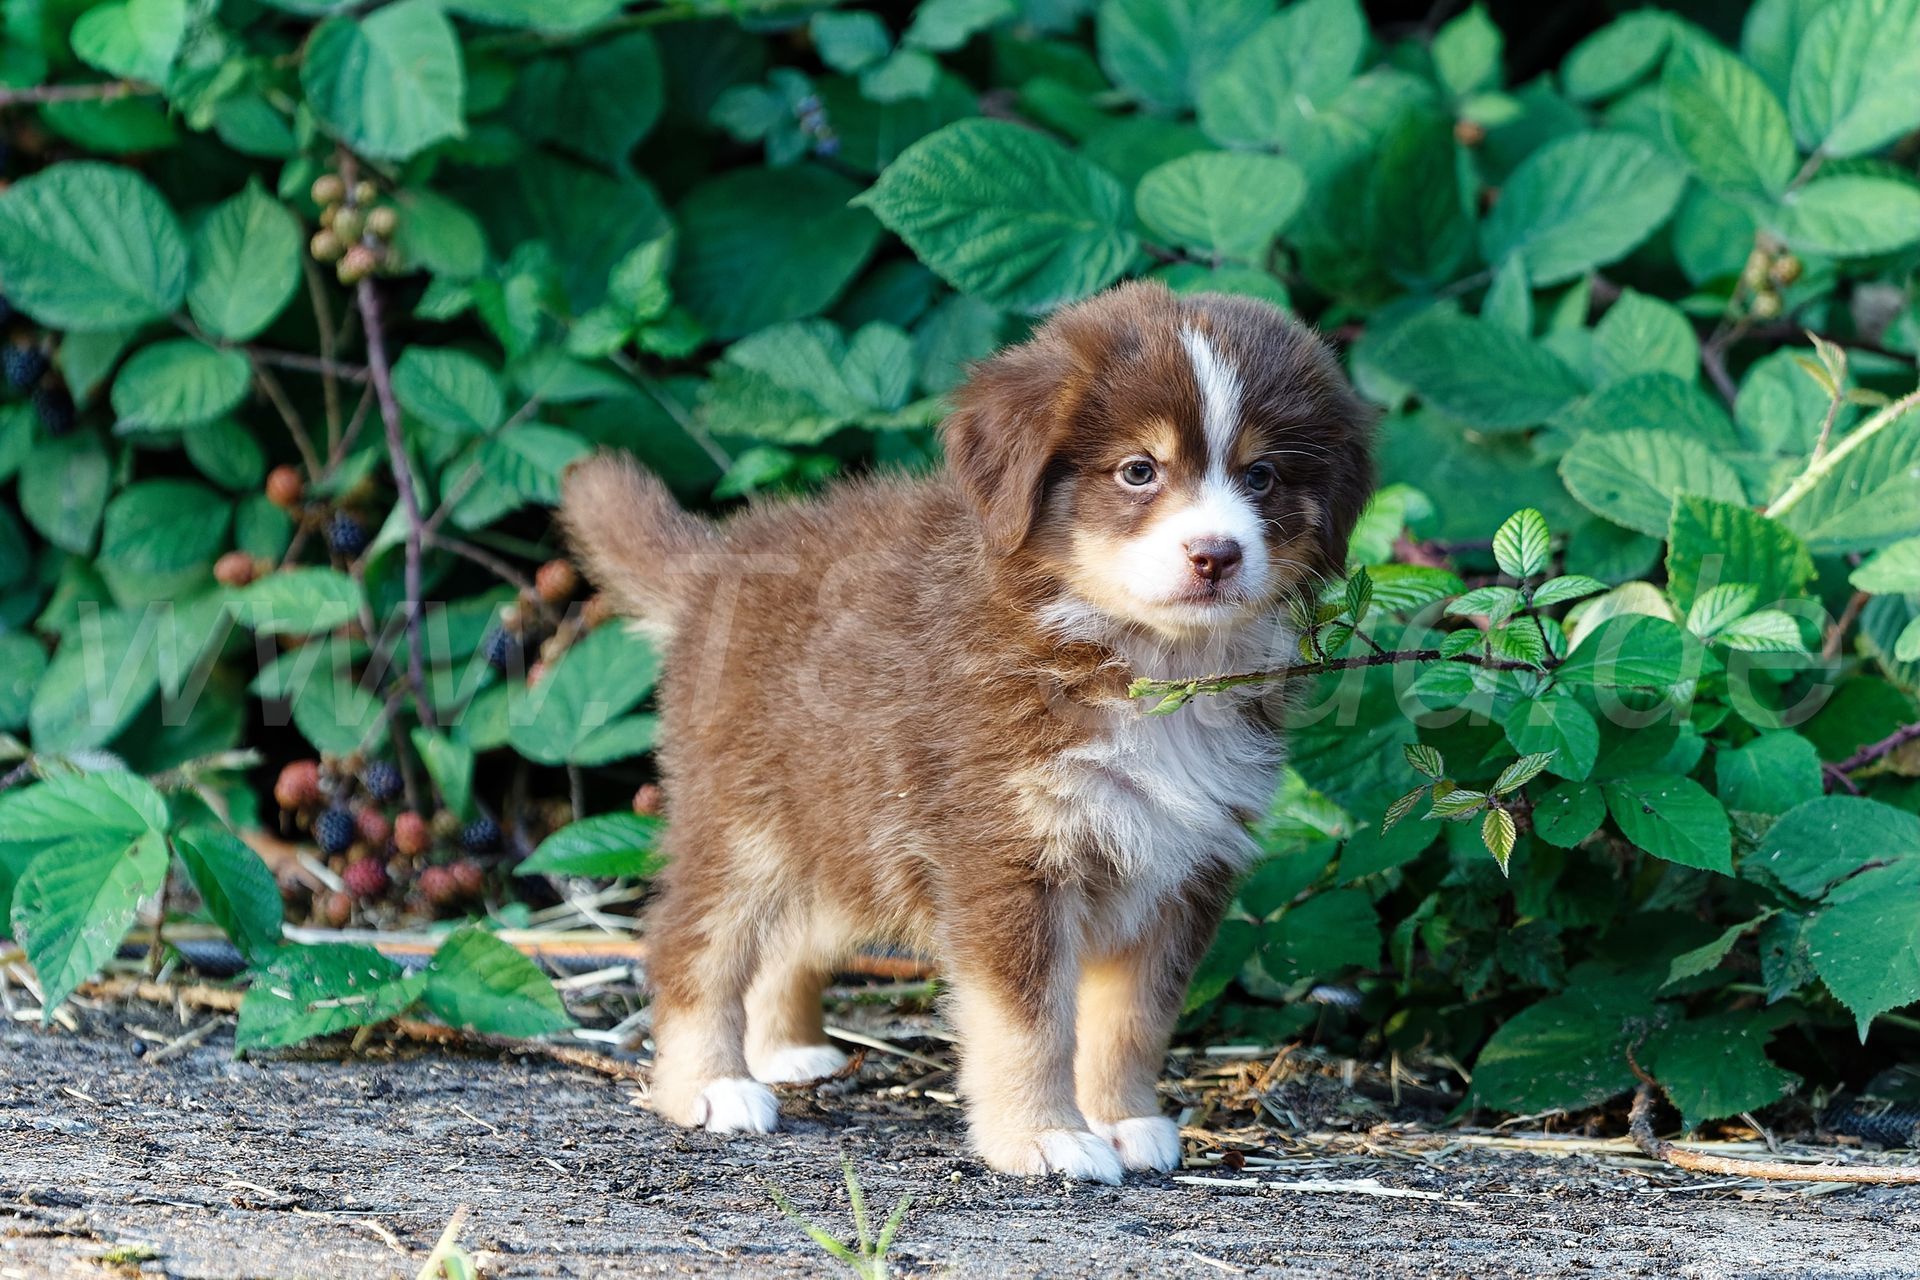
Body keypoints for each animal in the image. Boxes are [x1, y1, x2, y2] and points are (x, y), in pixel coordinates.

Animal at [560, 280, 1373, 1182]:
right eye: (1138, 470)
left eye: (1263, 475)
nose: (1216, 554)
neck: (1143, 664)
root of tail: (716, 564)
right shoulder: (1006, 855)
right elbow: (1029, 1021)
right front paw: (1046, 1136)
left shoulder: (1185, 866)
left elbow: (1134, 1018)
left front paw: (1123, 1120)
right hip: (742, 819)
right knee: (691, 941)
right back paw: (711, 1085)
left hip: (845, 825)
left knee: (794, 935)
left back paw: (787, 1051)